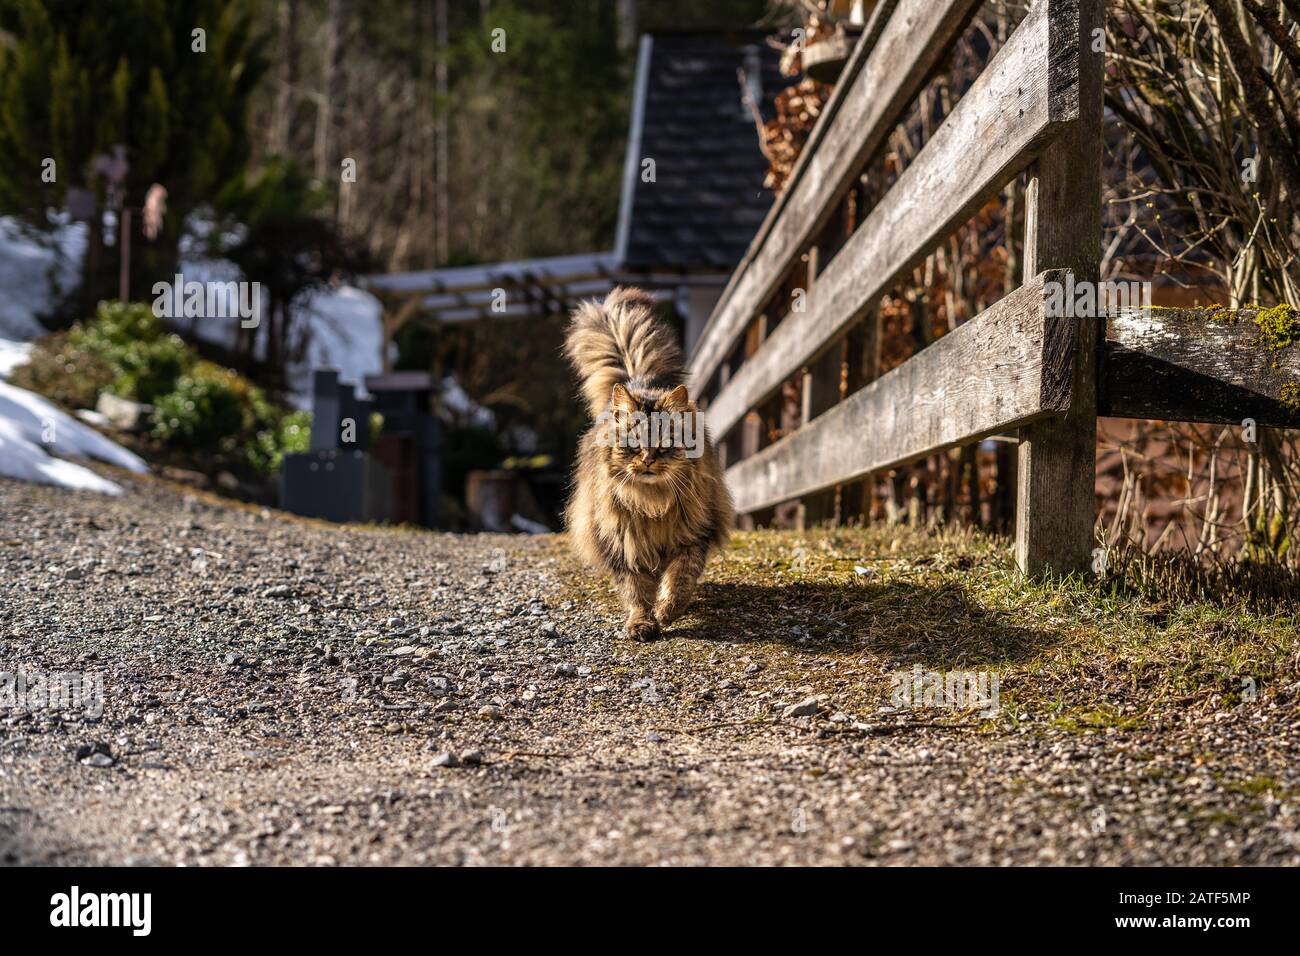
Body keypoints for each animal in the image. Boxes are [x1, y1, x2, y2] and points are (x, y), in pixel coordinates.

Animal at [566, 286, 738, 642]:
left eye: (663, 445)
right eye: (633, 445)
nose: (646, 459)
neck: (652, 504)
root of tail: (638, 381)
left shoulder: (694, 537)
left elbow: (679, 580)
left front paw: (666, 612)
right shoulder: (623, 545)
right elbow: (636, 592)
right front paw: (642, 623)